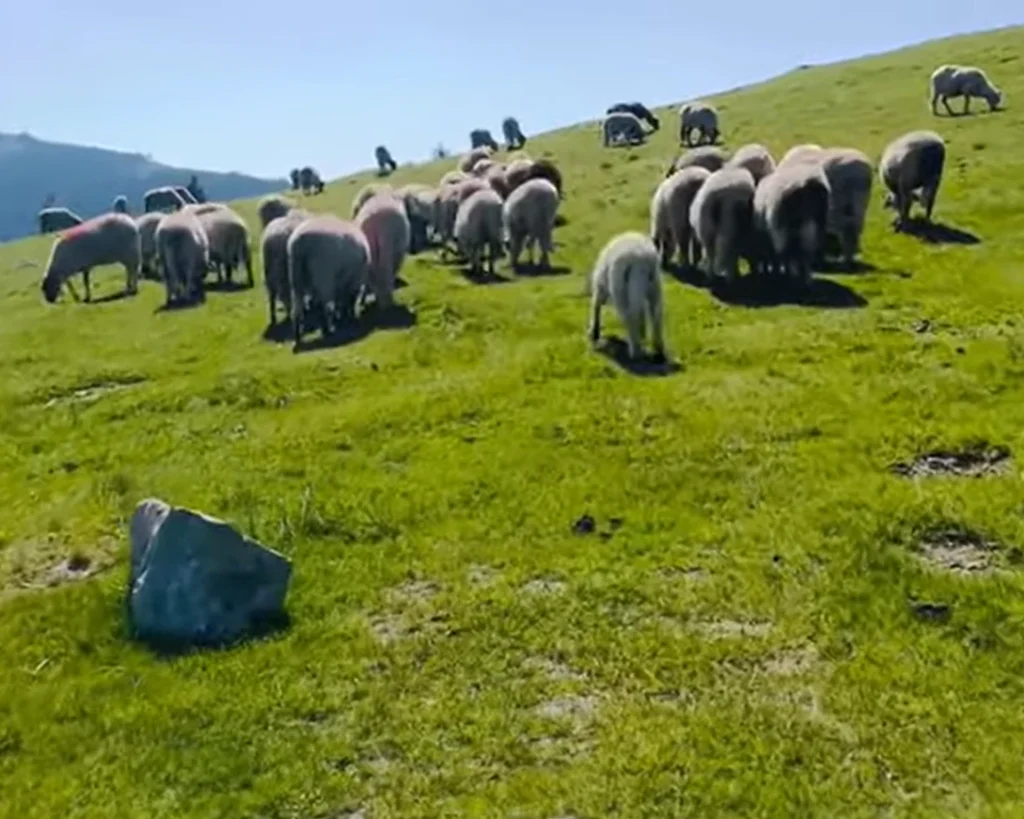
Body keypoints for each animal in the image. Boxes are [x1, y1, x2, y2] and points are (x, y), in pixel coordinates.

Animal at [287, 215, 370, 344]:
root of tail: (299, 242)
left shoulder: (342, 282)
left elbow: (342, 301)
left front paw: (342, 316)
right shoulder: (353, 281)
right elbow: (349, 300)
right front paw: (348, 317)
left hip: (296, 279)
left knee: (297, 309)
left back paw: (298, 337)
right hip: (323, 277)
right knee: (320, 305)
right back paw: (326, 330)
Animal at [587, 232, 665, 362]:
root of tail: (641, 261)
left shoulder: (600, 288)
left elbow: (596, 306)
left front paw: (594, 333)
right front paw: (642, 334)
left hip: (620, 290)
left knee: (630, 316)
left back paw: (635, 352)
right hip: (653, 286)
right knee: (655, 316)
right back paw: (658, 350)